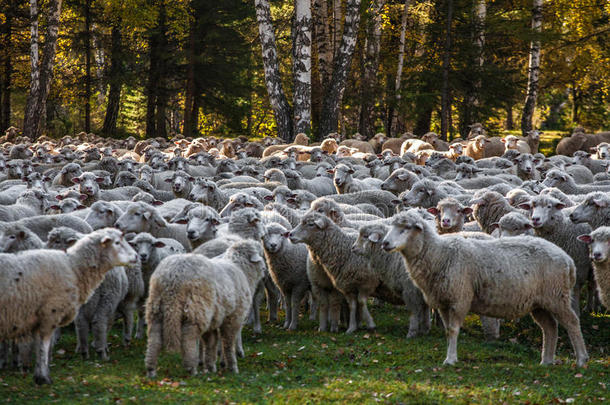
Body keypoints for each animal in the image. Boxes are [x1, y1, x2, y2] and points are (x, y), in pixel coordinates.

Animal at [0, 229, 137, 384]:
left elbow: (38, 346)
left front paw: (36, 372)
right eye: (117, 242)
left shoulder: (36, 319)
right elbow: (44, 345)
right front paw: (43, 377)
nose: (136, 256)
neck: (73, 267)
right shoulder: (49, 314)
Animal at [145, 240, 266, 376]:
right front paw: (232, 367)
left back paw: (151, 369)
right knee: (188, 337)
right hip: (196, 308)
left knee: (154, 337)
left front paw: (211, 366)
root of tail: (173, 275)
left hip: (157, 306)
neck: (241, 269)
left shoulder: (214, 318)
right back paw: (191, 368)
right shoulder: (233, 317)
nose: (265, 269)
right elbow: (228, 342)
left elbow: (211, 342)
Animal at [382, 210, 588, 368]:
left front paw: (450, 359)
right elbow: (448, 330)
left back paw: (581, 360)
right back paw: (546, 361)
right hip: (540, 302)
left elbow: (453, 330)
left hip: (557, 296)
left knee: (572, 322)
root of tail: (568, 260)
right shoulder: (442, 301)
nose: (384, 243)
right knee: (550, 327)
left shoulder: (459, 298)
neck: (439, 253)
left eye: (406, 228)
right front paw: (450, 355)